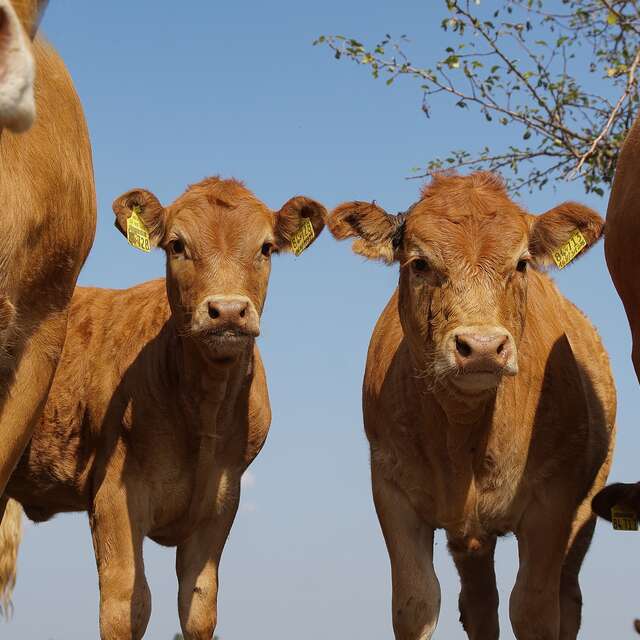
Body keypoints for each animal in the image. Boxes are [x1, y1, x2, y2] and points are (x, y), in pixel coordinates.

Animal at [3, 176, 327, 639]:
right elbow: (128, 605)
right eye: (177, 245)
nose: (228, 310)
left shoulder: (221, 502)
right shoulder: (114, 495)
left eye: (265, 248)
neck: (204, 409)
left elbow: (198, 605)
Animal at [328, 171, 615, 640]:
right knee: (481, 605)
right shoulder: (392, 492)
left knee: (566, 597)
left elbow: (534, 610)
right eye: (420, 263)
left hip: (586, 509)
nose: (482, 347)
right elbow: (416, 603)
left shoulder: (552, 502)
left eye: (521, 263)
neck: (464, 435)